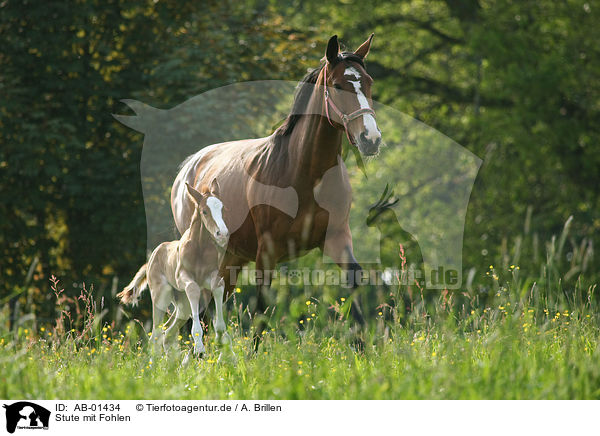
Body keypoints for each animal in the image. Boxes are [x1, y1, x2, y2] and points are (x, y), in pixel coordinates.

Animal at [119, 181, 230, 354]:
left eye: (222, 208)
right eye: (204, 211)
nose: (222, 234)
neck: (199, 248)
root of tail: (151, 259)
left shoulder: (211, 275)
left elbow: (218, 286)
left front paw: (219, 335)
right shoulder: (182, 277)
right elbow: (193, 288)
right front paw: (199, 348)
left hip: (183, 305)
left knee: (168, 332)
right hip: (161, 296)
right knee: (156, 334)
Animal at [171, 34, 382, 344]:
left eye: (368, 82)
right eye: (337, 85)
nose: (371, 139)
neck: (304, 174)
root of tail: (188, 168)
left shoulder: (337, 237)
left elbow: (353, 283)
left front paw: (362, 347)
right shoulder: (267, 253)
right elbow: (261, 307)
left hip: (231, 259)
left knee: (209, 308)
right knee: (197, 307)